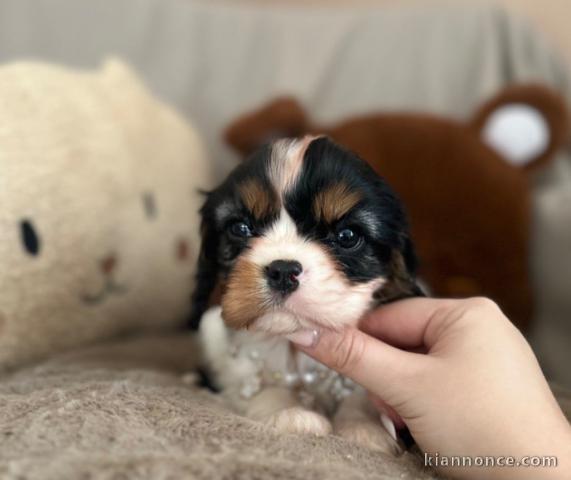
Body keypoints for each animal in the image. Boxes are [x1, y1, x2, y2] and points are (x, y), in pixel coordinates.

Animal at [190, 136, 422, 454]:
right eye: (241, 228)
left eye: (347, 236)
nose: (283, 270)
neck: (293, 348)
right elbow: (259, 386)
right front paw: (289, 413)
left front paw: (365, 427)